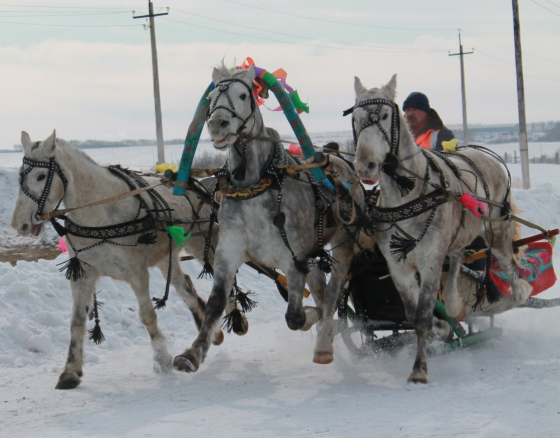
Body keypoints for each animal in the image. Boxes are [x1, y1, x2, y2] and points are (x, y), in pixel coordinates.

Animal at [10, 131, 232, 390]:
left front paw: (162, 359)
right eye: (20, 175)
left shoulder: (137, 273)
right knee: (184, 286)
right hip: (164, 256)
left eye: (41, 175)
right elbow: (76, 321)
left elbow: (147, 315)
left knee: (224, 281)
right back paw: (210, 329)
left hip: (201, 243)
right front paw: (70, 371)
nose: (20, 224)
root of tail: (196, 184)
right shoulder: (83, 274)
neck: (100, 214)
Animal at [171, 62, 366, 372]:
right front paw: (192, 353)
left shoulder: (293, 258)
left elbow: (296, 317)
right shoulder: (228, 253)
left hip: (343, 245)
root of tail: (342, 164)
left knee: (333, 293)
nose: (217, 124)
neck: (254, 186)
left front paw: (312, 317)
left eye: (242, 95)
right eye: (211, 99)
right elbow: (215, 304)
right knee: (322, 290)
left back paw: (324, 341)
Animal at [352, 75, 532, 384]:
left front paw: (419, 370)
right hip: (460, 234)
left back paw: (519, 291)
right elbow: (413, 312)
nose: (366, 166)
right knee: (458, 258)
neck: (408, 194)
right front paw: (442, 325)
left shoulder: (431, 260)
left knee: (509, 263)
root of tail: (486, 156)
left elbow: (423, 316)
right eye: (355, 118)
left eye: (385, 115)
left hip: (497, 232)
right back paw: (453, 304)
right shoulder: (397, 266)